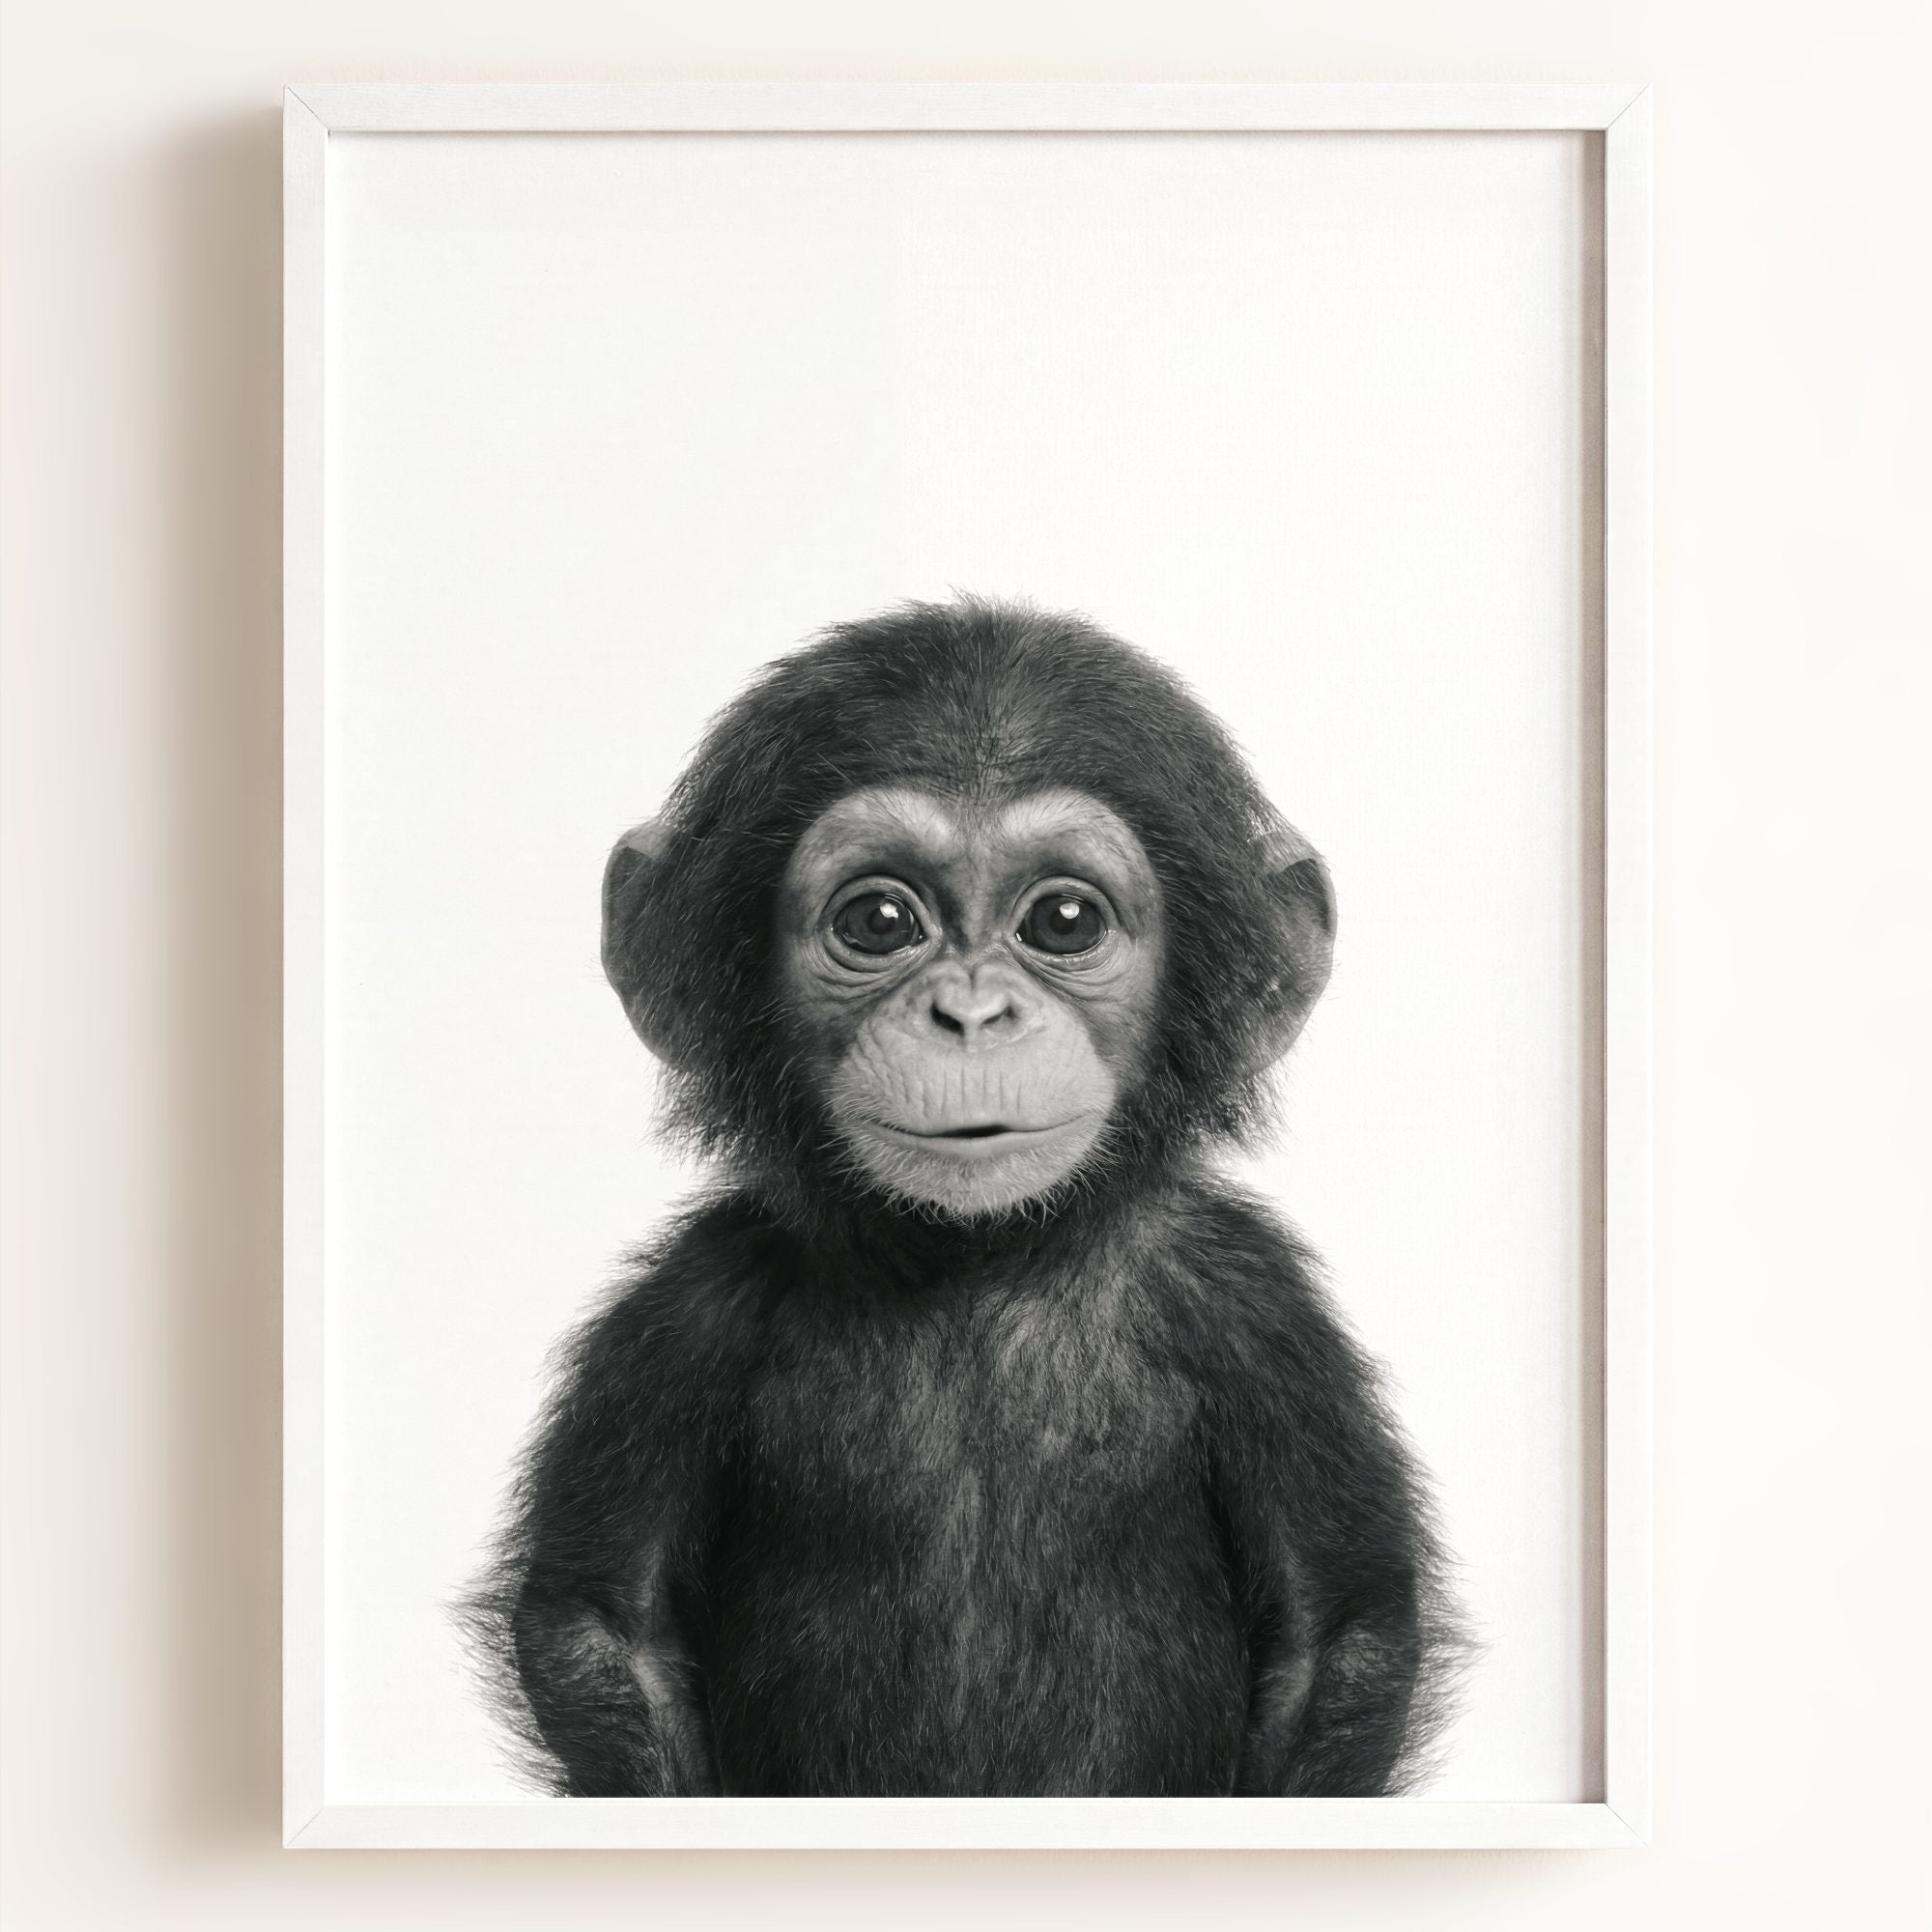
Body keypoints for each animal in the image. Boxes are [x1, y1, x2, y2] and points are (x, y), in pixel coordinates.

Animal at [463, 596, 1464, 1798]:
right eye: (879, 921)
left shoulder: (1256, 1309)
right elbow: (607, 1628)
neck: (974, 1258)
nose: (972, 1014)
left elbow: (1336, 1633)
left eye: (1064, 920)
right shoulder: (685, 1311)